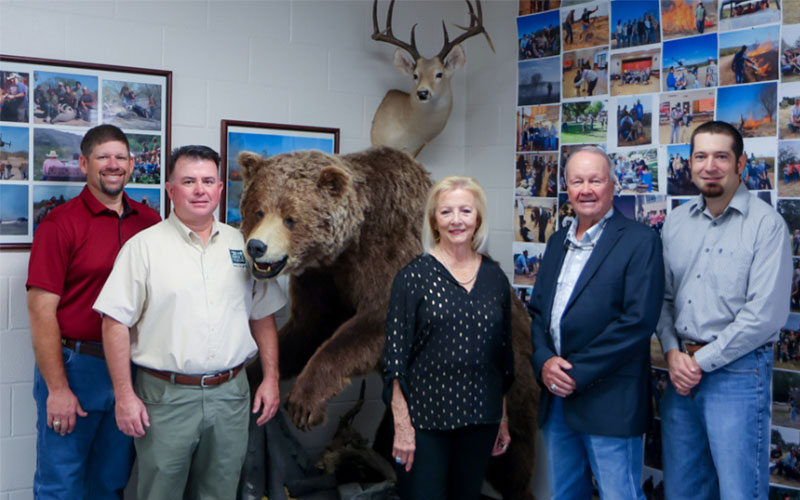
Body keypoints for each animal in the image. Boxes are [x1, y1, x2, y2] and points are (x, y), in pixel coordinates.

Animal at [236, 146, 536, 498]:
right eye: (258, 211)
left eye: (290, 218)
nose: (256, 247)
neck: (350, 244)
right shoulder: (324, 278)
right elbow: (307, 330)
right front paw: (256, 375)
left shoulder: (388, 248)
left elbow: (377, 324)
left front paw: (303, 403)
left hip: (514, 376)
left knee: (515, 450)